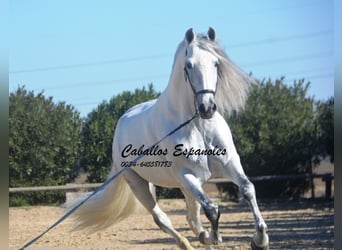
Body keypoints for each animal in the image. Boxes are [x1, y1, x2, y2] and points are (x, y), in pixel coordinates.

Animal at [67, 26, 268, 249]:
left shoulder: (229, 163)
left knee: (192, 217)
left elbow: (247, 189)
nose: (207, 108)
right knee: (163, 219)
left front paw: (260, 240)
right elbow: (212, 209)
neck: (197, 126)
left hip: (184, 186)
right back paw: (191, 242)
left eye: (216, 63)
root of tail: (122, 122)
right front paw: (215, 237)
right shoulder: (186, 175)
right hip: (140, 183)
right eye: (189, 65)